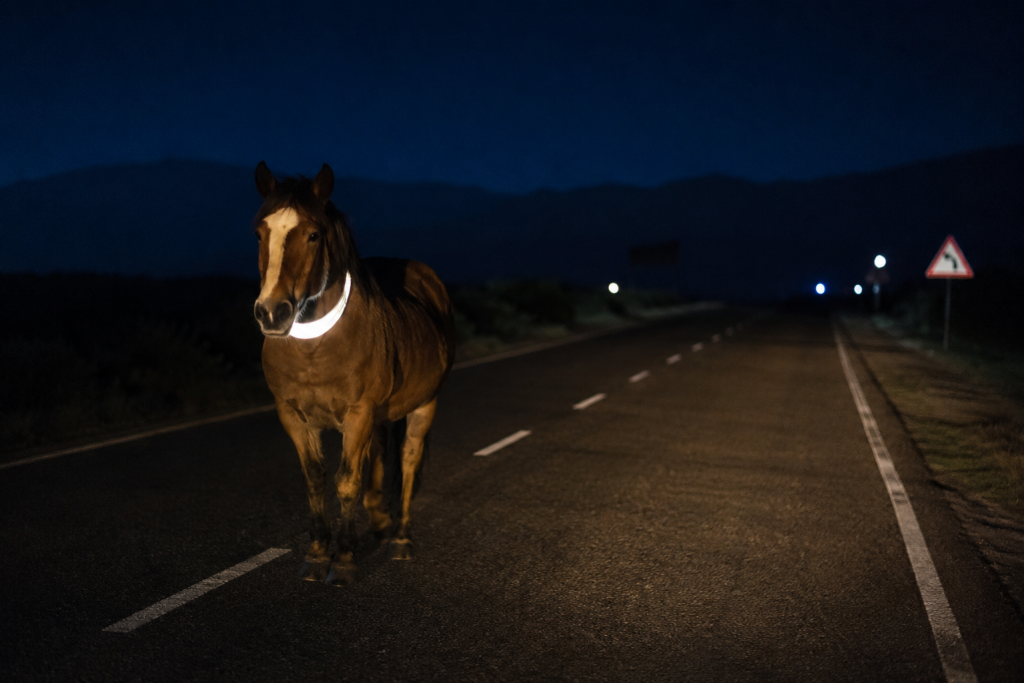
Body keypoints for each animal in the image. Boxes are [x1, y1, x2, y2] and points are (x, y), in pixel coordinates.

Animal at [251, 161, 456, 586]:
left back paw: (401, 537)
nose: (272, 313)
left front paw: (343, 559)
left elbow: (347, 481)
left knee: (408, 459)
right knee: (378, 453)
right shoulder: (293, 416)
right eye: (259, 232)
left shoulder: (358, 414)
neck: (315, 348)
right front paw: (317, 553)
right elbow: (315, 478)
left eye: (313, 235)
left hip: (425, 404)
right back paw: (379, 520)